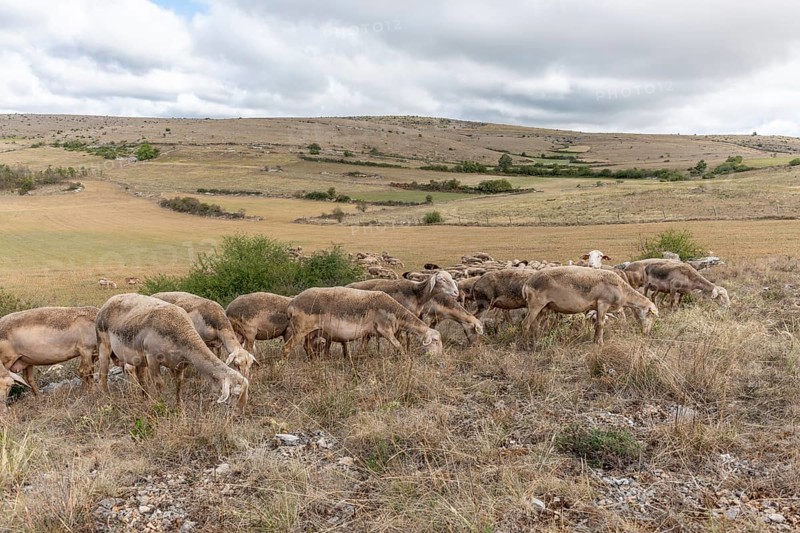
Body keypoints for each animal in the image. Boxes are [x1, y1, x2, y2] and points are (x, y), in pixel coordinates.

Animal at [96, 294, 248, 408]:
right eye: (236, 394)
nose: (239, 414)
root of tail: (110, 300)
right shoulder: (152, 358)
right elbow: (159, 384)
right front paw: (160, 405)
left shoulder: (179, 364)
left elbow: (179, 383)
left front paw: (179, 407)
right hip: (103, 345)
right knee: (103, 375)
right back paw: (106, 400)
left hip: (138, 357)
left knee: (141, 377)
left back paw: (145, 399)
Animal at [282, 287, 442, 359]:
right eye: (435, 340)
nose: (438, 357)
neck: (397, 314)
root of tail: (292, 304)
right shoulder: (386, 330)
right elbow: (399, 346)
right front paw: (405, 359)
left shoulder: (368, 334)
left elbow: (362, 348)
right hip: (300, 329)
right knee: (287, 347)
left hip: (311, 332)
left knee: (307, 346)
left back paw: (313, 361)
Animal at [521, 266, 658, 346]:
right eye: (651, 316)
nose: (647, 333)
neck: (624, 291)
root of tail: (527, 283)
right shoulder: (603, 302)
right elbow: (600, 324)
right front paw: (600, 343)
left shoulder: (597, 306)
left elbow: (597, 324)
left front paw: (595, 340)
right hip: (535, 304)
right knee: (526, 323)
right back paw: (526, 344)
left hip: (543, 307)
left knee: (535, 324)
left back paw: (537, 341)